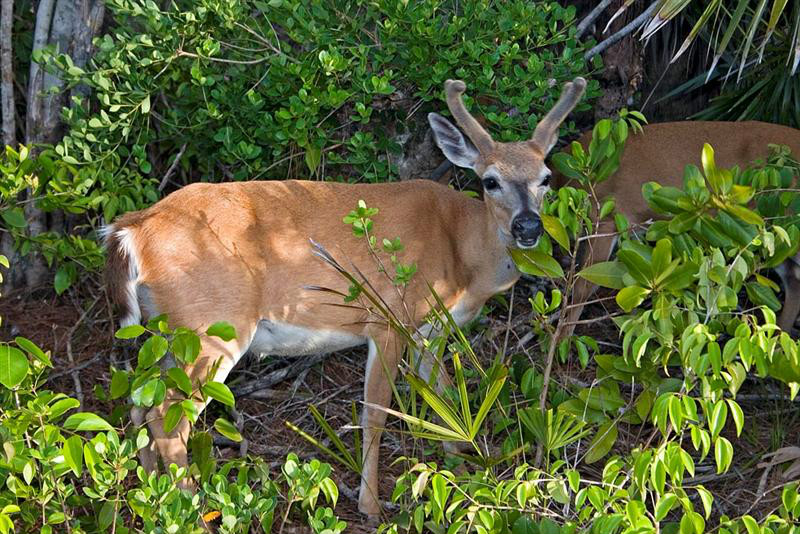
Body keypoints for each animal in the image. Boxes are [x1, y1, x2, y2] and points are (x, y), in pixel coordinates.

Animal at [101, 76, 588, 520]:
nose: (528, 227)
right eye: (489, 181)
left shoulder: (430, 332)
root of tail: (132, 230)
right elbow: (376, 412)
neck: (462, 253)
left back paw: (148, 502)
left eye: (546, 178)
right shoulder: (389, 317)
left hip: (166, 332)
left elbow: (445, 399)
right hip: (214, 325)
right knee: (168, 418)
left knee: (140, 406)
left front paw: (464, 471)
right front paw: (370, 506)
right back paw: (189, 508)